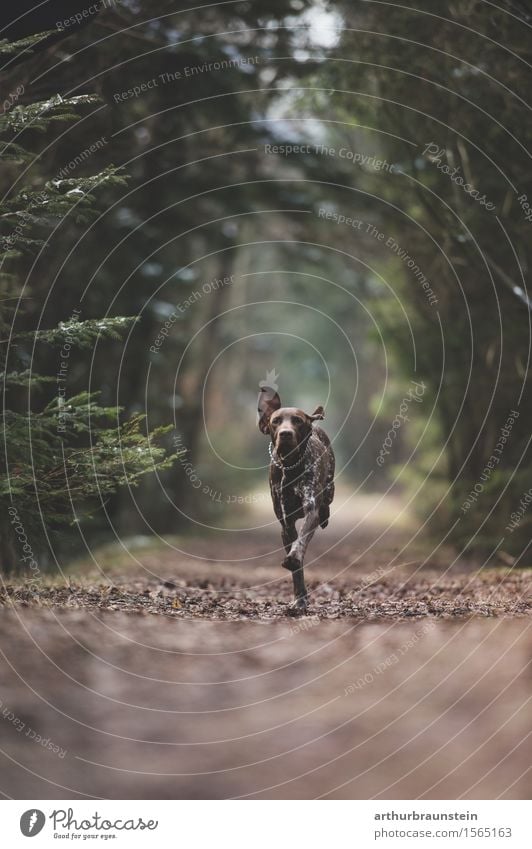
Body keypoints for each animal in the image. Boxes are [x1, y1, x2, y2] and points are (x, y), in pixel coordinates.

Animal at [256, 384, 334, 608]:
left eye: (298, 421)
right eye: (275, 421)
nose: (285, 434)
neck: (291, 467)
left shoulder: (311, 510)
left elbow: (301, 541)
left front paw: (294, 557)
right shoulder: (286, 524)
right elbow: (297, 569)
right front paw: (300, 598)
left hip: (329, 490)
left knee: (326, 505)